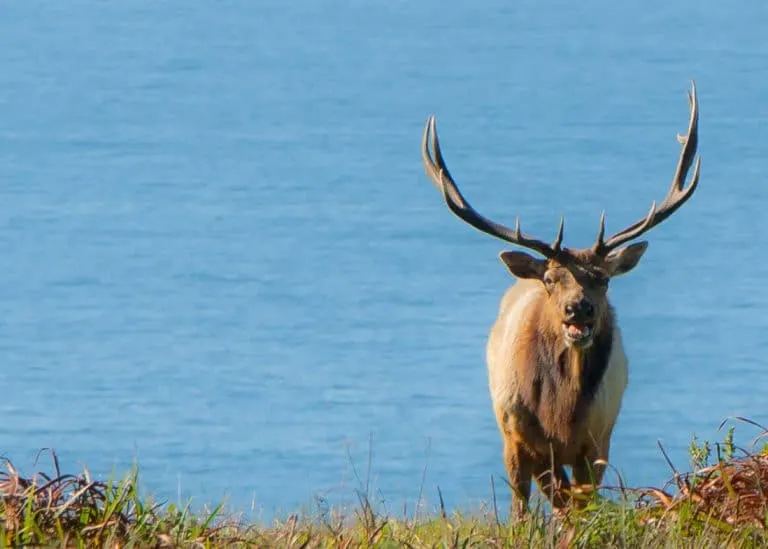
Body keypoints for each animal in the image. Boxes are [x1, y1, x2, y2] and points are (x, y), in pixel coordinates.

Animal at [420, 81, 704, 512]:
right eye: (552, 279)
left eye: (603, 279)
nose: (579, 309)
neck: (560, 412)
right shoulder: (519, 435)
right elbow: (533, 504)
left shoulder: (597, 441)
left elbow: (581, 506)